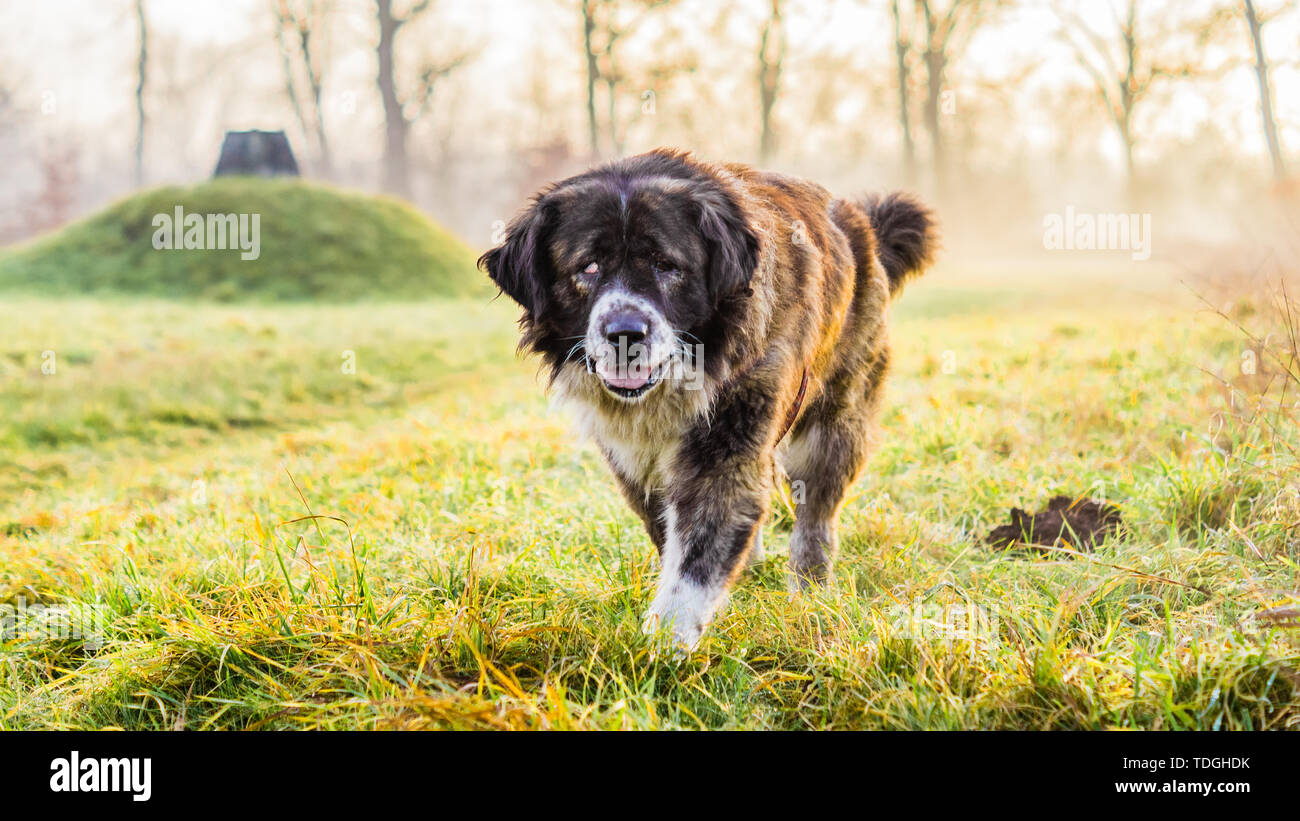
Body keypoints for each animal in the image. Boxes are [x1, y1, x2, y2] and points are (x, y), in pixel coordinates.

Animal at [478, 147, 935, 646]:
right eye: (588, 267)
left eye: (666, 265)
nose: (624, 333)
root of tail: (863, 225)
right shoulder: (637, 466)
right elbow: (674, 539)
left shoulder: (727, 443)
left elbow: (694, 561)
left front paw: (662, 647)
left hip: (833, 423)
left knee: (815, 516)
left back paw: (810, 592)